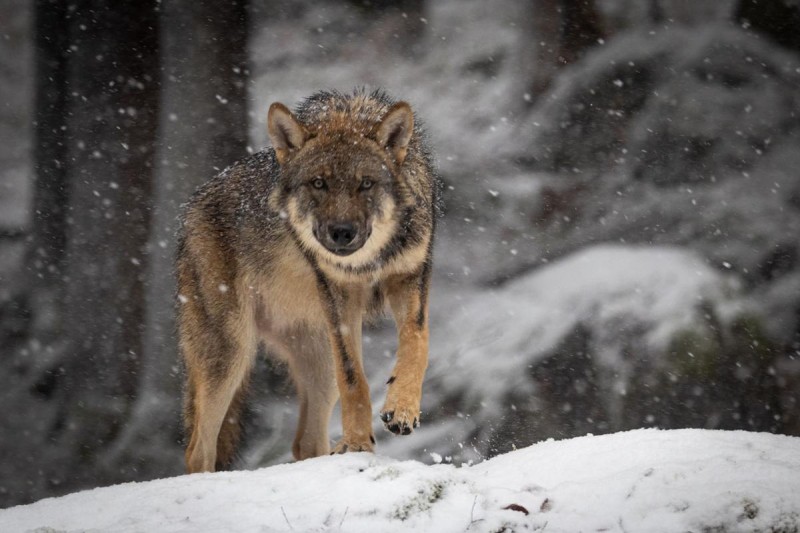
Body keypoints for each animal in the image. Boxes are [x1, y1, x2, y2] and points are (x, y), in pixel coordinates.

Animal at [176, 89, 440, 473]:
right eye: (319, 183)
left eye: (366, 183)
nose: (342, 232)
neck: (366, 262)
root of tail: (190, 209)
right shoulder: (339, 297)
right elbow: (354, 379)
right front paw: (358, 443)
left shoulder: (410, 277)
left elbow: (416, 343)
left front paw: (402, 408)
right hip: (231, 354)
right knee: (198, 449)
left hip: (317, 363)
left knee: (305, 443)